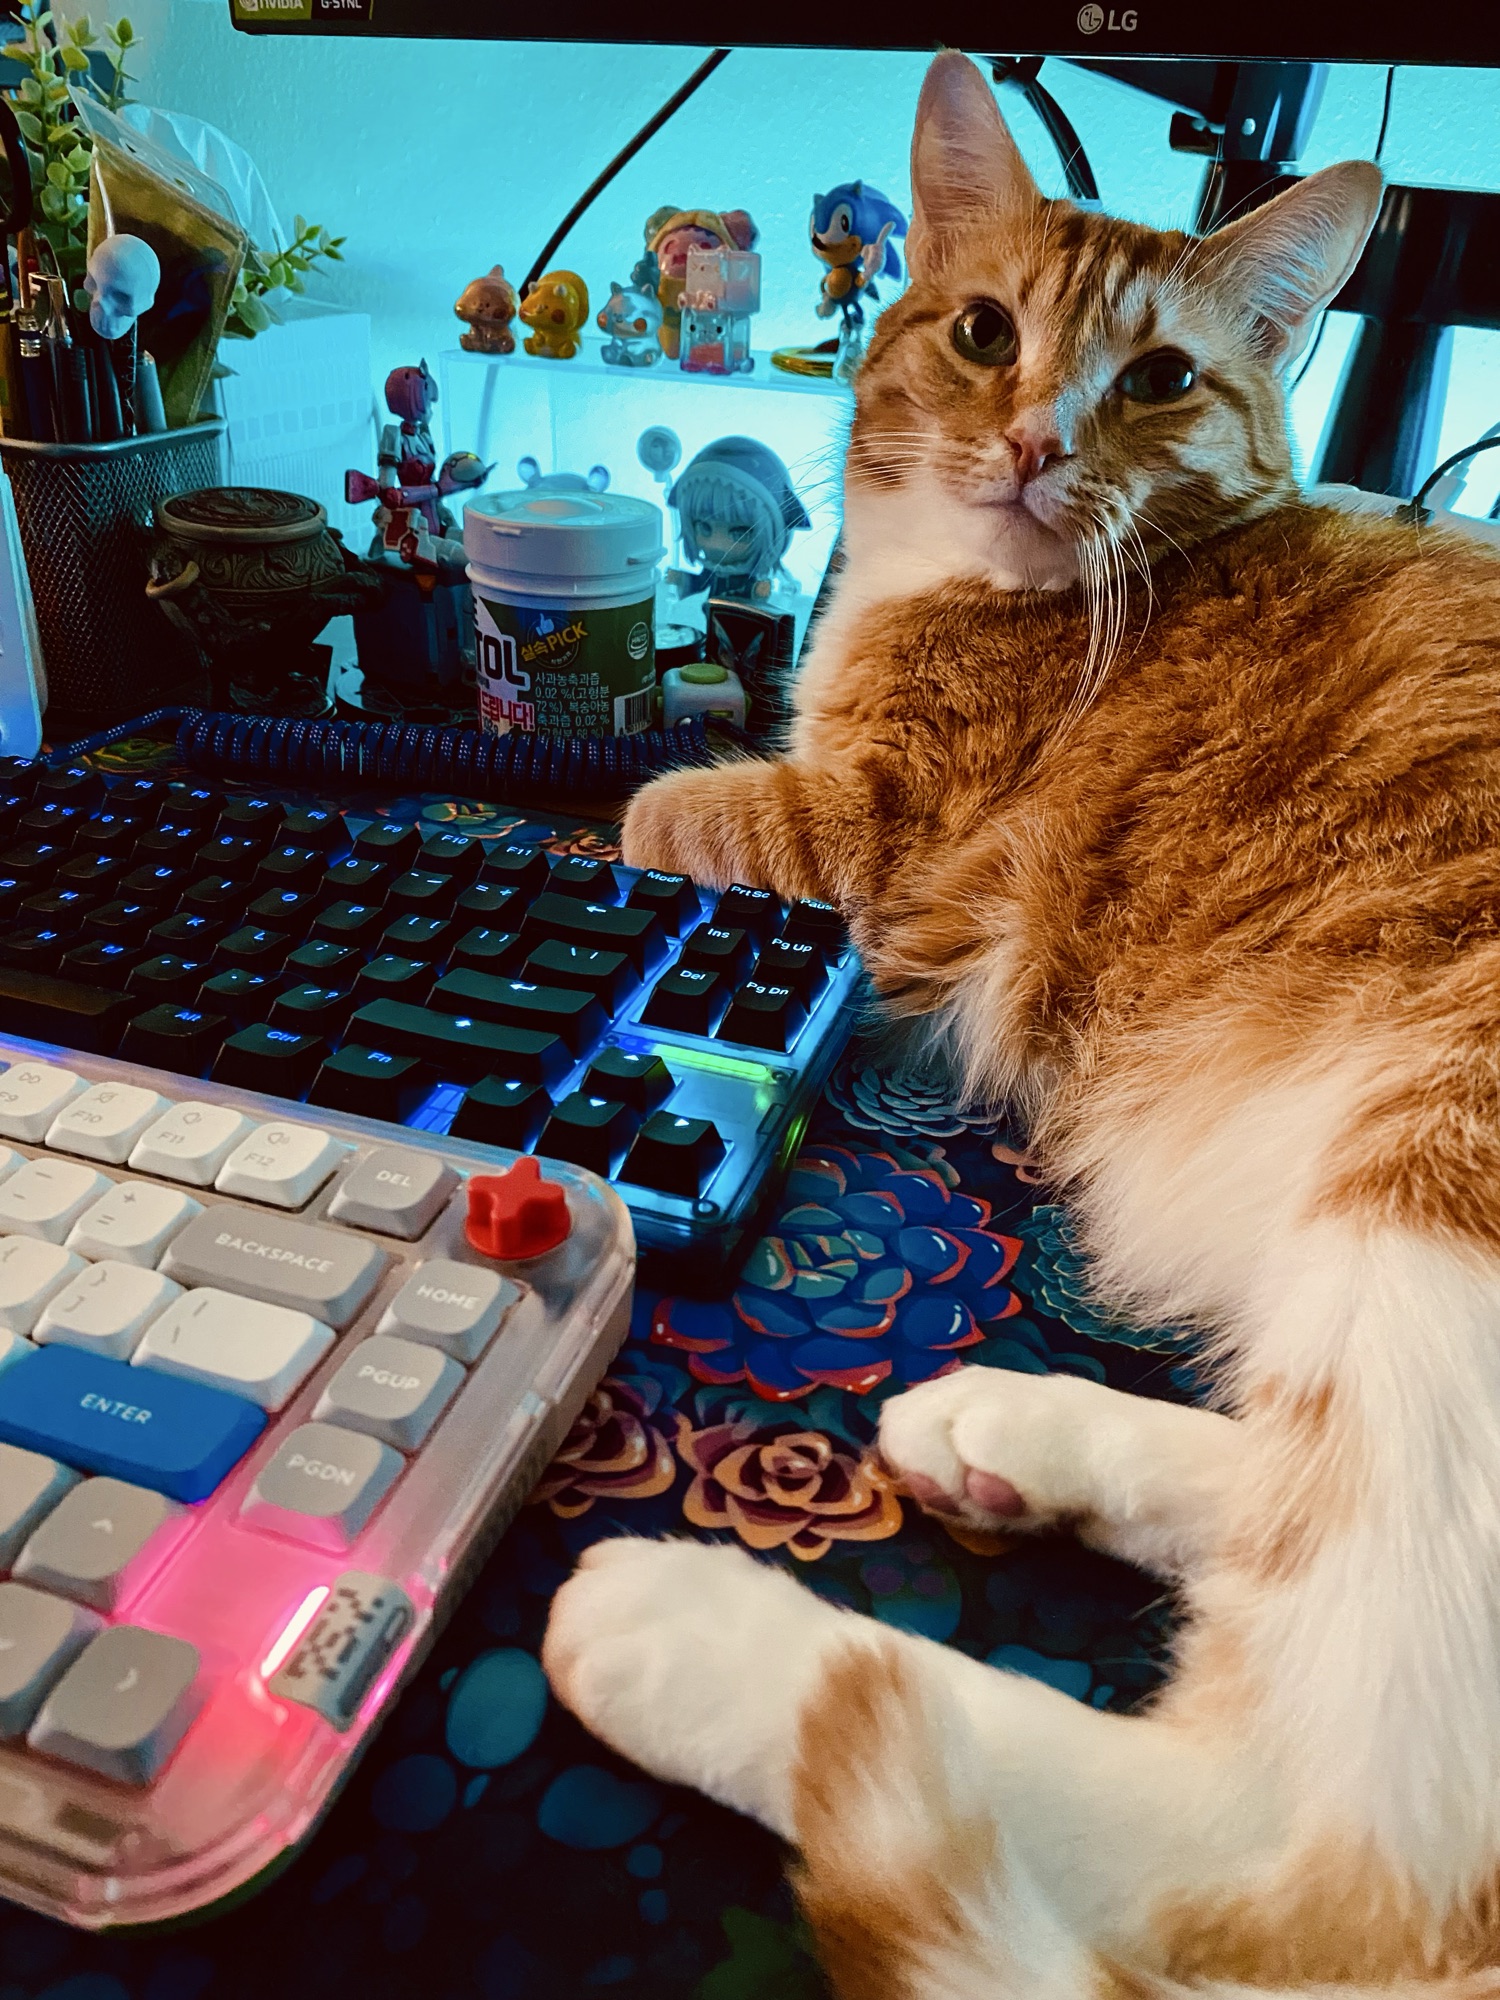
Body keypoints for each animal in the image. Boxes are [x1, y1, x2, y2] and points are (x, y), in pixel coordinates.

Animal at [543, 48, 1500, 2000]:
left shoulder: (858, 843)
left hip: (1436, 1180)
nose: (1037, 443)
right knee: (1299, 1509)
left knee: (1297, 1840)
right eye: (986, 333)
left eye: (1160, 380)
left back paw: (709, 1640)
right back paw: (1027, 1438)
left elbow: (662, 804)